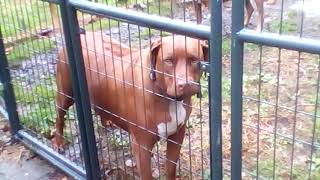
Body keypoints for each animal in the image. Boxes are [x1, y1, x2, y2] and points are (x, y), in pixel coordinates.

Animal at [52, 31, 208, 179]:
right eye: (168, 60)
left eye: (194, 60)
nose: (185, 84)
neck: (168, 98)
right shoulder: (141, 146)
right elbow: (147, 175)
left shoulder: (177, 135)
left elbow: (170, 169)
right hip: (66, 93)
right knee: (59, 116)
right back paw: (58, 142)